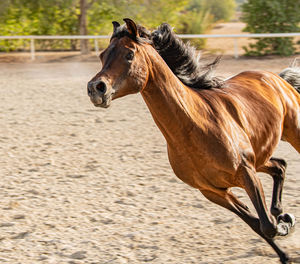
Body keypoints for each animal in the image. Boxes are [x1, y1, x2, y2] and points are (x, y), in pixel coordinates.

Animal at [86, 18, 300, 262]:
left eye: (129, 54)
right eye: (102, 55)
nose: (96, 88)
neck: (195, 127)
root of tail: (277, 78)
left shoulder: (246, 173)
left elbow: (267, 225)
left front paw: (286, 223)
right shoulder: (213, 191)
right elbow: (258, 224)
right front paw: (284, 247)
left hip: (291, 136)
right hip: (260, 157)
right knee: (279, 166)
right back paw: (279, 210)